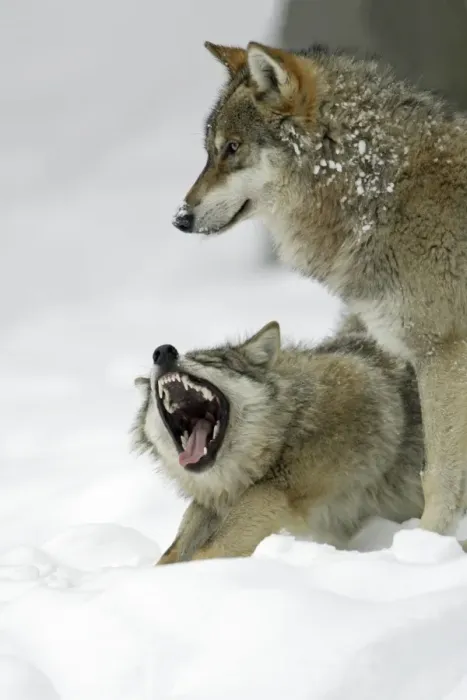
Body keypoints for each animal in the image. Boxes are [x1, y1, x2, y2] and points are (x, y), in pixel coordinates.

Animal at [132, 319, 426, 563]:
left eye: (211, 362)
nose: (163, 351)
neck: (290, 424)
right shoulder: (213, 503)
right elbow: (174, 549)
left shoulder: (279, 489)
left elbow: (217, 543)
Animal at [172, 41, 467, 538]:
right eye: (210, 152)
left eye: (232, 148)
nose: (180, 218)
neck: (380, 194)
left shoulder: (441, 354)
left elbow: (441, 475)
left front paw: (427, 542)